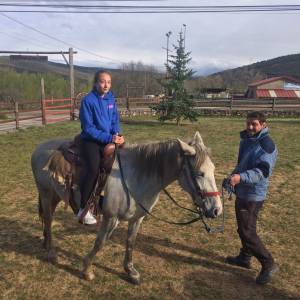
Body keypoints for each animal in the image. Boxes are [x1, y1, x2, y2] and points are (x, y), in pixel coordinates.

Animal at [31, 131, 223, 284]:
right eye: (200, 173)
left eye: (213, 169)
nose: (216, 210)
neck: (135, 177)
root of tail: (39, 147)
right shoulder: (111, 218)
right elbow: (100, 243)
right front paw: (86, 270)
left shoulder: (137, 218)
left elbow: (131, 242)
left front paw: (131, 271)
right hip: (46, 193)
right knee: (48, 219)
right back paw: (51, 252)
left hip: (55, 195)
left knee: (48, 219)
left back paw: (46, 243)